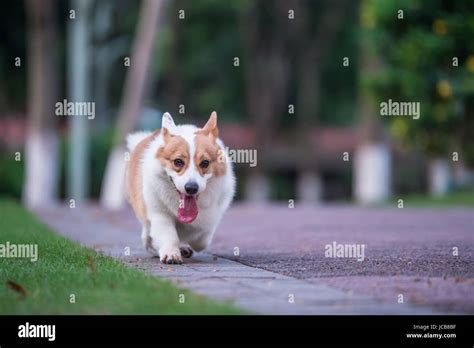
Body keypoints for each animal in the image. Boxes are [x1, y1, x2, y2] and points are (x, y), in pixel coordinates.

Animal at [126, 111, 235, 264]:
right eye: (178, 162)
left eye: (205, 163)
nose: (191, 188)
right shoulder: (160, 213)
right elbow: (168, 235)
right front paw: (171, 254)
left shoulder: (212, 217)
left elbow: (202, 239)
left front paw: (189, 243)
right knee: (147, 232)